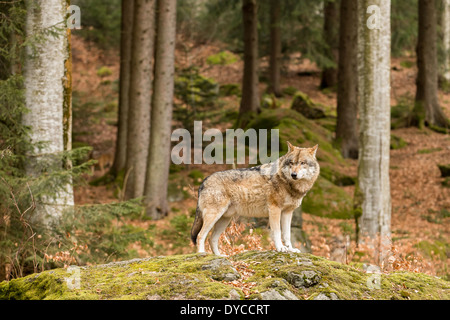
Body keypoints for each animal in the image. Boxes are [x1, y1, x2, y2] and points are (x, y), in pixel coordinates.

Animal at [190, 142, 320, 255]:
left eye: (302, 163)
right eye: (291, 163)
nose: (293, 174)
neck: (289, 184)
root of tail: (204, 181)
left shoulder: (287, 212)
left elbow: (287, 235)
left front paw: (291, 249)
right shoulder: (274, 209)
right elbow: (277, 232)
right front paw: (280, 248)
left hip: (224, 220)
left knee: (212, 239)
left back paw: (220, 257)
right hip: (214, 216)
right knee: (200, 236)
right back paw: (202, 254)